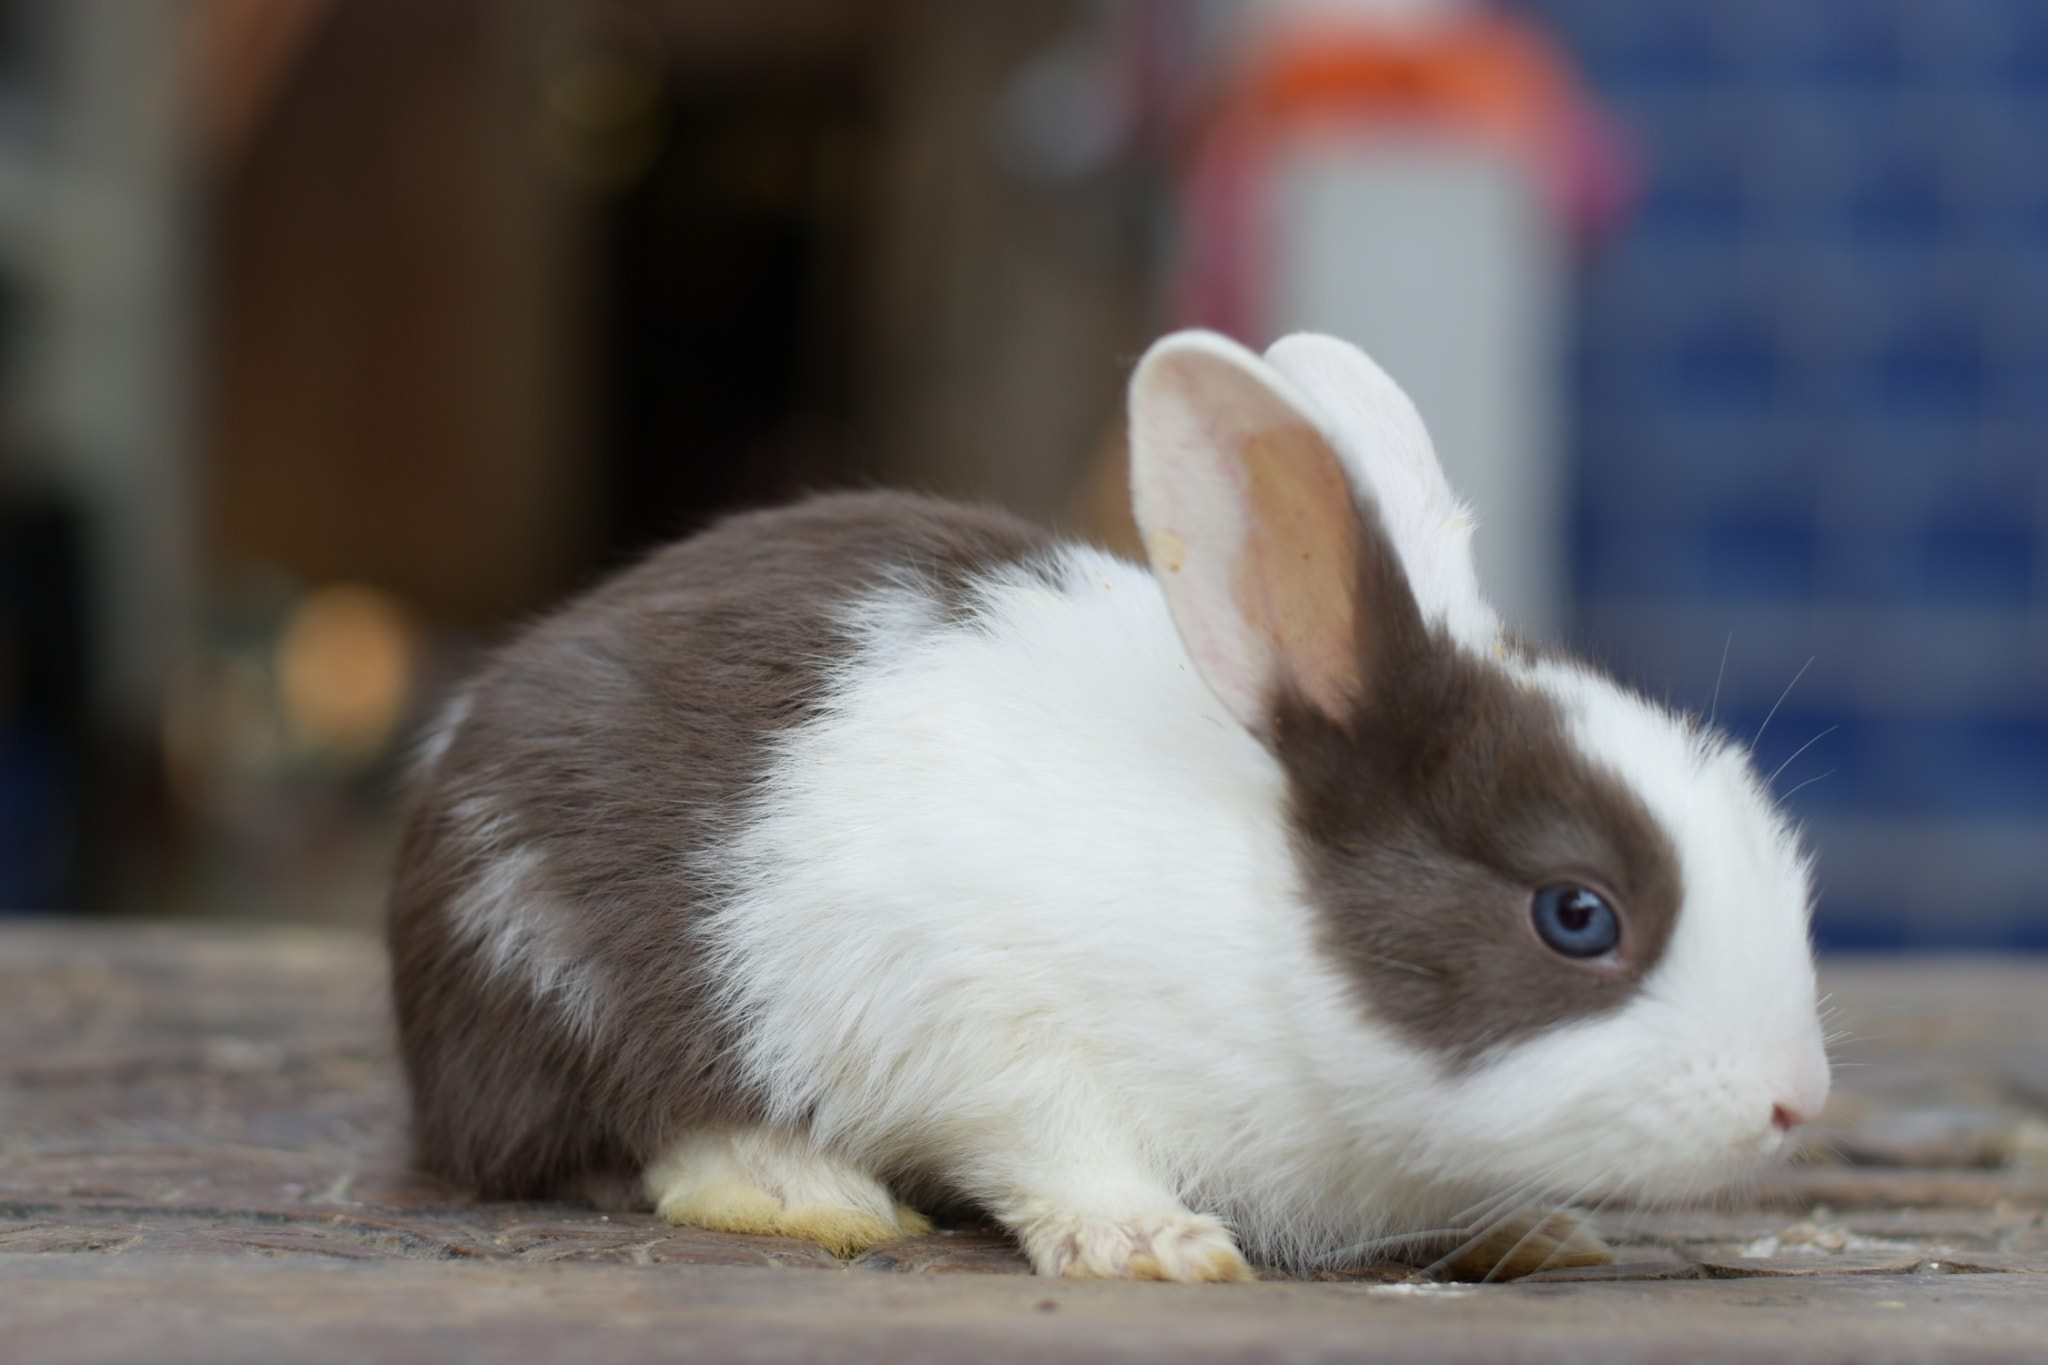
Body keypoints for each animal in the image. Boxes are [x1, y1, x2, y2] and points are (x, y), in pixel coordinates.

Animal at [387, 330, 1831, 1281]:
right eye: (1576, 915)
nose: (1794, 1103)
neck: (1265, 936)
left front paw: (1530, 1228)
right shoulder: (978, 1017)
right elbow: (1050, 1142)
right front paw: (1153, 1244)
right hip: (551, 961)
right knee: (604, 1133)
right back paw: (801, 1187)